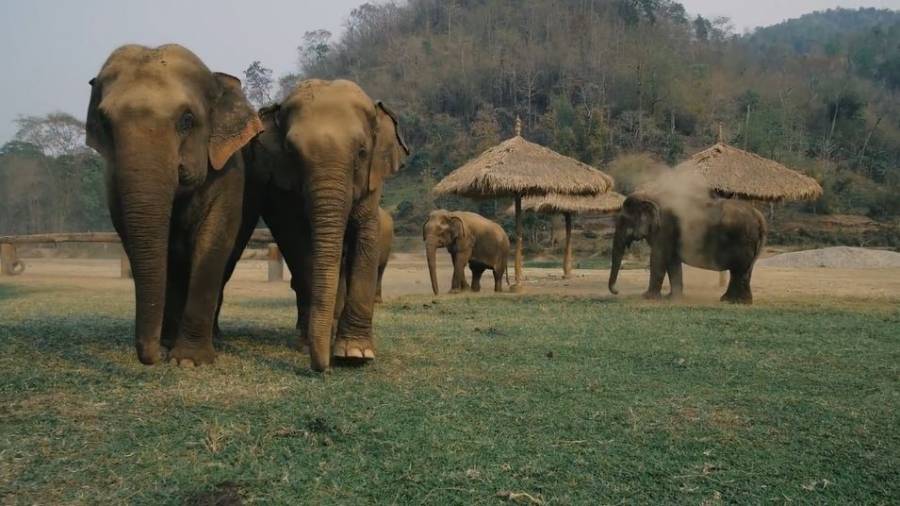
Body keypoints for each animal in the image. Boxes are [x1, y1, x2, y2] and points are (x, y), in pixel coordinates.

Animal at [85, 44, 263, 365]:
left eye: (187, 120)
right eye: (105, 123)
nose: (154, 355)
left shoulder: (229, 171)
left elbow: (214, 238)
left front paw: (189, 361)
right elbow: (136, 238)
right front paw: (169, 347)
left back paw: (215, 337)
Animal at [226, 79, 408, 371]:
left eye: (362, 152)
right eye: (292, 153)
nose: (322, 367)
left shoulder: (372, 184)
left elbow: (365, 236)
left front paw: (355, 354)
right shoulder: (282, 191)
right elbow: (297, 243)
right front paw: (322, 344)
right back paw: (306, 337)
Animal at [608, 192, 767, 304]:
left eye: (624, 220)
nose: (617, 291)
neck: (649, 195)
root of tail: (760, 218)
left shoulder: (665, 228)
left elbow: (658, 257)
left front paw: (647, 297)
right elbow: (672, 261)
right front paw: (672, 298)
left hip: (742, 240)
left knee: (738, 270)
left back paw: (734, 301)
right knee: (742, 271)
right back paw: (735, 301)